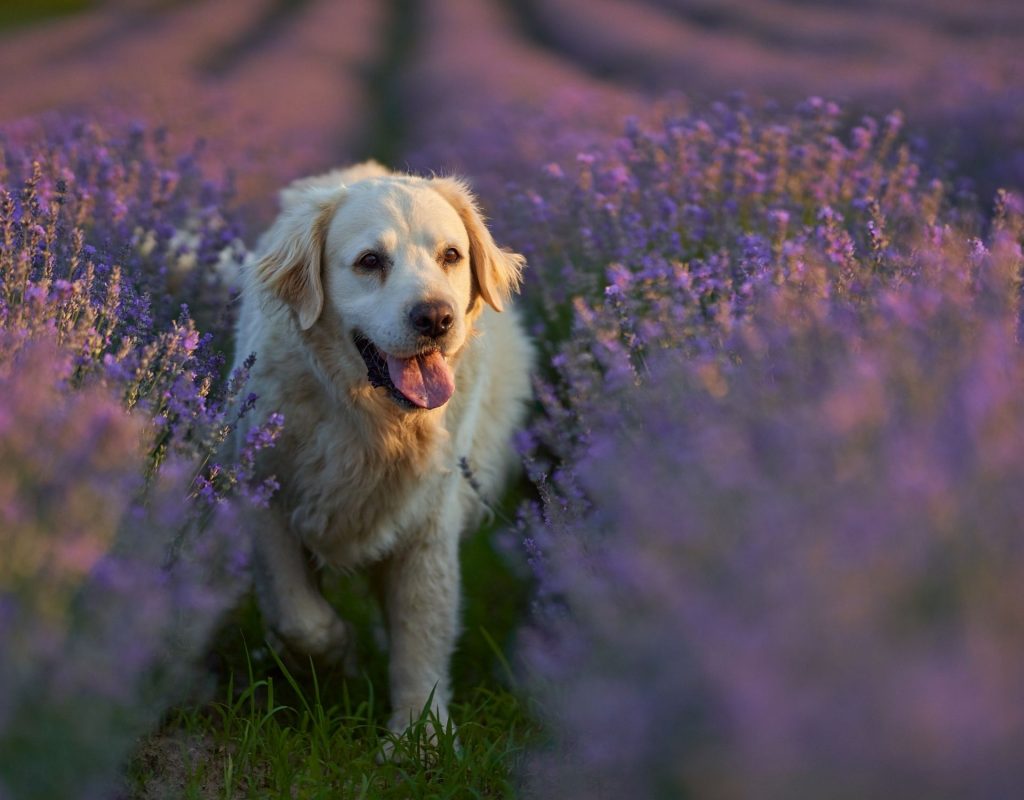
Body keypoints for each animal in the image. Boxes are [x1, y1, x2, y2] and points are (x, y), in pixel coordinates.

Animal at [233, 158, 536, 741]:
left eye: (451, 255)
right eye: (370, 261)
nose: (436, 318)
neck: (372, 424)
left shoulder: (428, 523)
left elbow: (421, 636)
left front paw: (419, 735)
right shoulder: (265, 494)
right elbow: (299, 616)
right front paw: (332, 653)